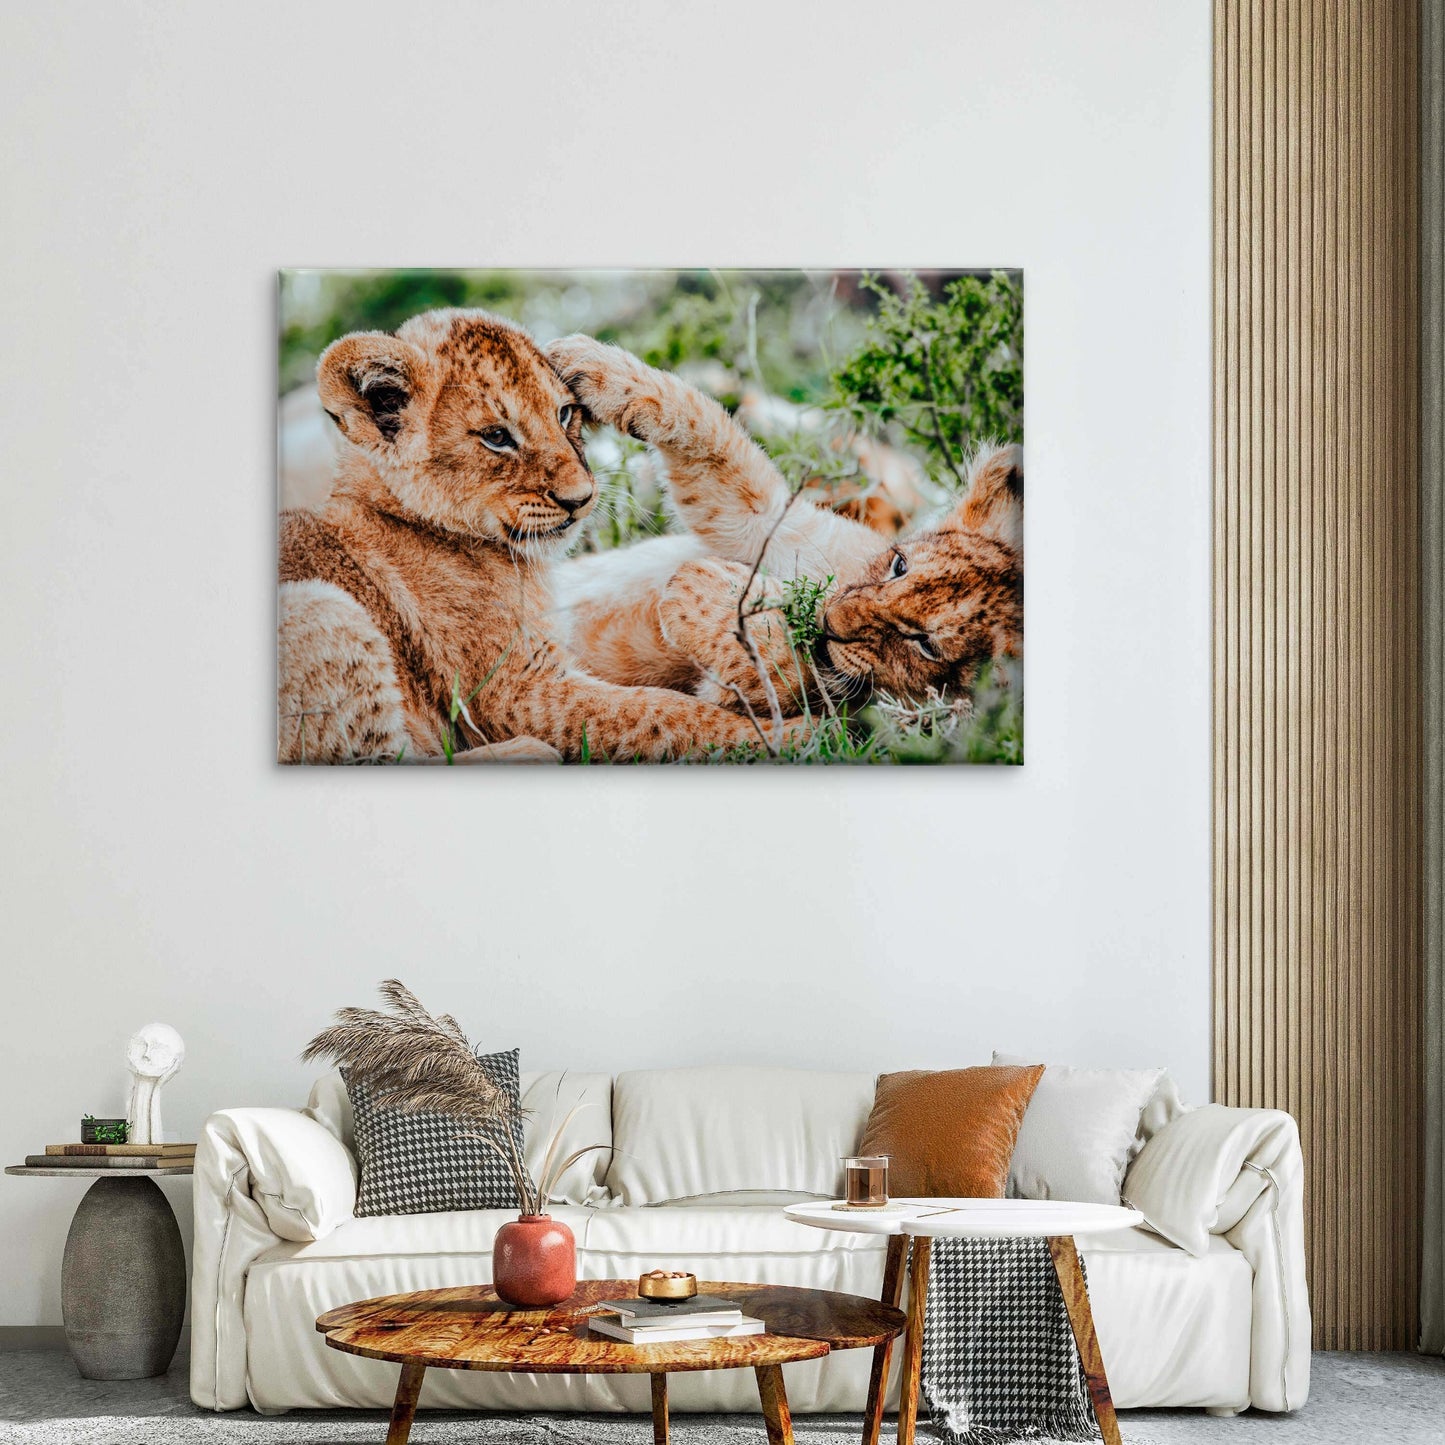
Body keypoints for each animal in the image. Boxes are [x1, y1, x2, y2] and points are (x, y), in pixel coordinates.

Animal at [278, 308, 786, 763]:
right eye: (497, 436)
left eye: (564, 414)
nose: (580, 499)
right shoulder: (515, 694)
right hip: (323, 605)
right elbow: (665, 713)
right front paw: (790, 735)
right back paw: (529, 752)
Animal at [545, 336, 1022, 719]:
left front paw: (708, 590)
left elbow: (774, 669)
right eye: (899, 565)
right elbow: (709, 434)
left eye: (925, 645)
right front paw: (582, 362)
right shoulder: (780, 527)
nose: (830, 619)